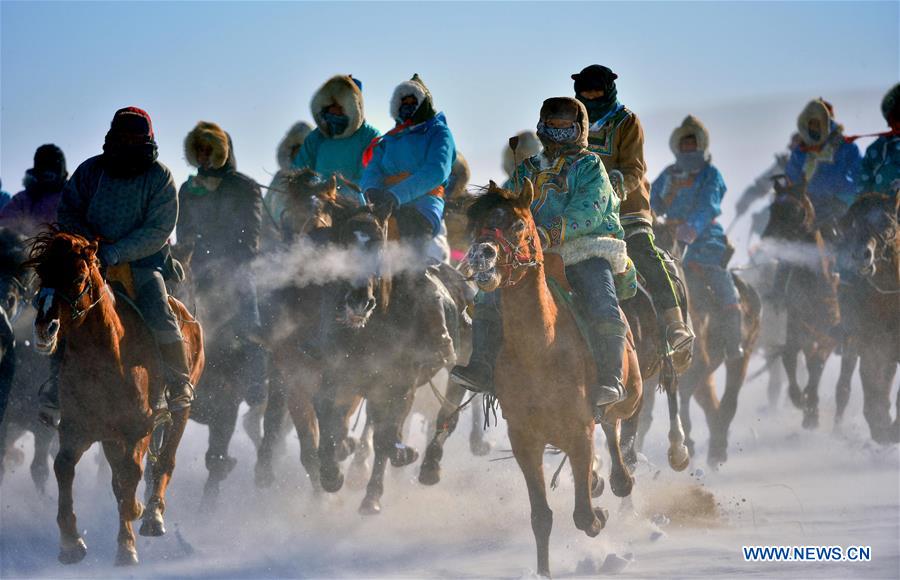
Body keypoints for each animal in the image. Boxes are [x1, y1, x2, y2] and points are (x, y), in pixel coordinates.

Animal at [27, 231, 204, 566]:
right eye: (43, 273)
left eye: (78, 276)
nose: (46, 329)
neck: (106, 357)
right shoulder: (76, 429)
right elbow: (64, 468)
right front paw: (70, 543)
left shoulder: (139, 428)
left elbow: (130, 475)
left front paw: (127, 543)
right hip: (110, 436)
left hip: (180, 411)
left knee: (165, 460)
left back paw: (152, 515)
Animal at [463, 180, 642, 577]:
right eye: (477, 224)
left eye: (518, 224)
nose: (481, 255)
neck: (539, 351)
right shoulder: (524, 440)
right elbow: (541, 517)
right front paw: (543, 570)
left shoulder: (579, 430)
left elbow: (584, 516)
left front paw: (599, 512)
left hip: (630, 394)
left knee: (613, 423)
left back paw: (618, 478)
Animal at [653, 219, 761, 467]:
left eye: (670, 242)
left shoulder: (695, 363)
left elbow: (682, 394)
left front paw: (687, 444)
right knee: (711, 404)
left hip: (742, 353)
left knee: (729, 401)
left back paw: (717, 449)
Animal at [762, 177, 839, 430]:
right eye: (772, 208)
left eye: (795, 209)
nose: (767, 239)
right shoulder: (796, 326)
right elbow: (790, 357)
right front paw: (799, 399)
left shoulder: (828, 332)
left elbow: (817, 363)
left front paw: (811, 409)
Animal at [835, 193, 900, 443]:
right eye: (849, 225)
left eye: (887, 223)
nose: (861, 255)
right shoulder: (869, 340)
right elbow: (873, 389)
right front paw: (883, 427)